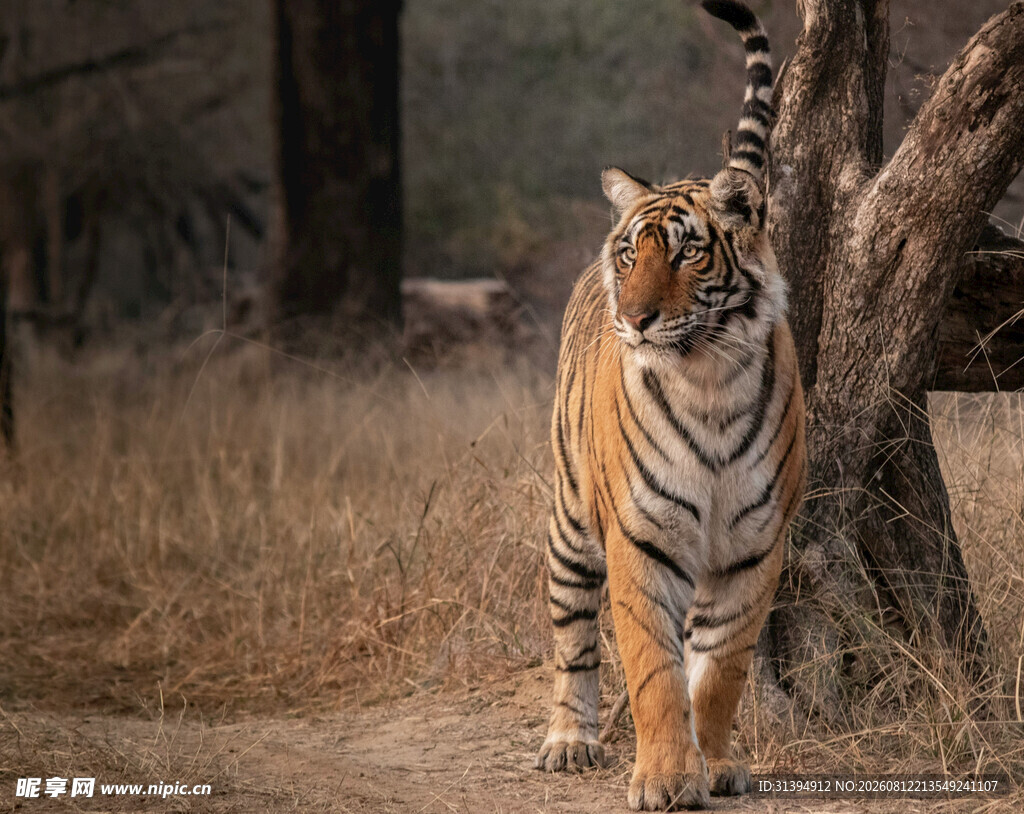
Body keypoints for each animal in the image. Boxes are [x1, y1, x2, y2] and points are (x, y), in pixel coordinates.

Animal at [534, 1, 806, 810]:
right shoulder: (640, 538)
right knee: (572, 640)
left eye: (688, 252)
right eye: (631, 252)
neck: (708, 376)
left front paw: (712, 764)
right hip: (570, 519)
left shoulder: (753, 547)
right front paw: (663, 778)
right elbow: (652, 668)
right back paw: (569, 741)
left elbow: (716, 672)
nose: (634, 317)